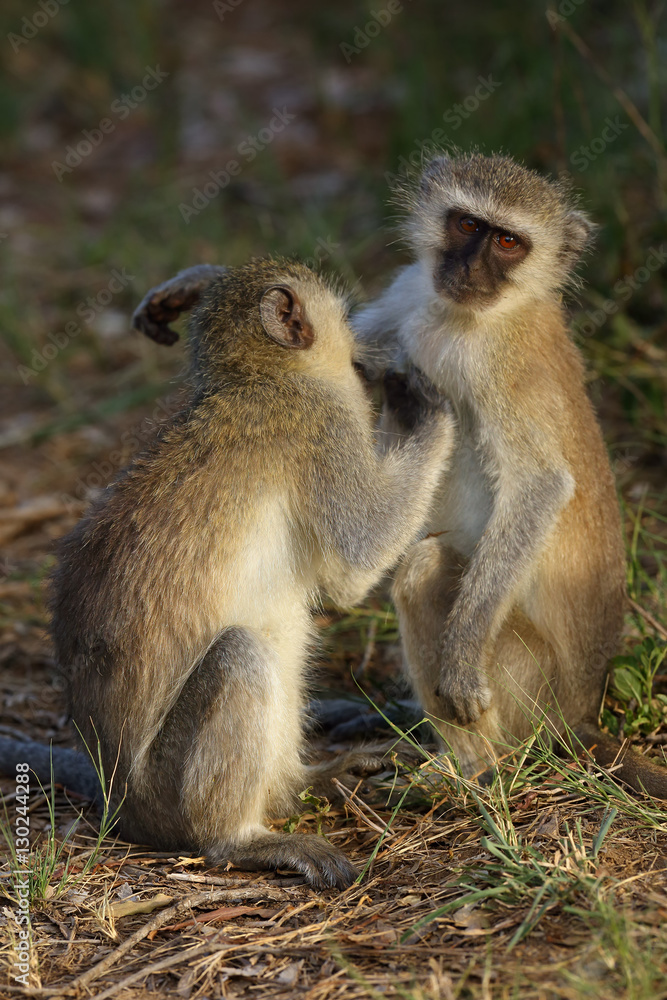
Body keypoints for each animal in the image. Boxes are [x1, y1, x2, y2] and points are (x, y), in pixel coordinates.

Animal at [0, 260, 460, 892]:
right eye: (345, 319)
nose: (366, 353)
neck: (259, 376)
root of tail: (121, 802)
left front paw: (191, 284)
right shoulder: (323, 424)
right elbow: (354, 565)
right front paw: (426, 406)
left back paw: (309, 781)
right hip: (168, 790)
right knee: (240, 655)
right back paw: (240, 840)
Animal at [354, 154, 667, 796]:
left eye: (507, 242)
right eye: (468, 225)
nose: (469, 267)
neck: (468, 317)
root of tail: (580, 714)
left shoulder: (503, 367)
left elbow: (541, 488)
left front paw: (460, 659)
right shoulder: (412, 287)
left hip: (529, 685)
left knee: (423, 570)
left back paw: (471, 768)